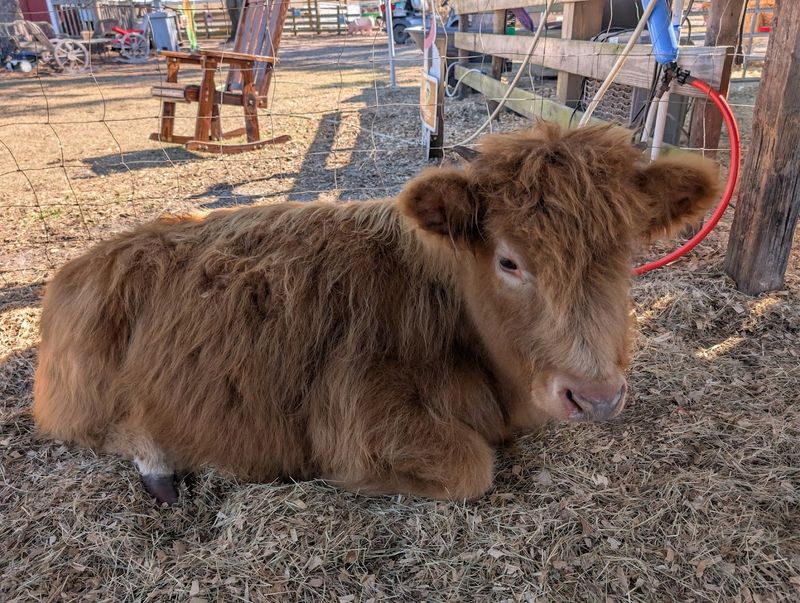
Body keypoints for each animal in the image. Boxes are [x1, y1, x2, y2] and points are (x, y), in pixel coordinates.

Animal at [33, 124, 718, 504]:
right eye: (509, 261)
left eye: (626, 253)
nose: (596, 396)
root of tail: (81, 265)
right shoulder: (361, 417)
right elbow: (472, 468)